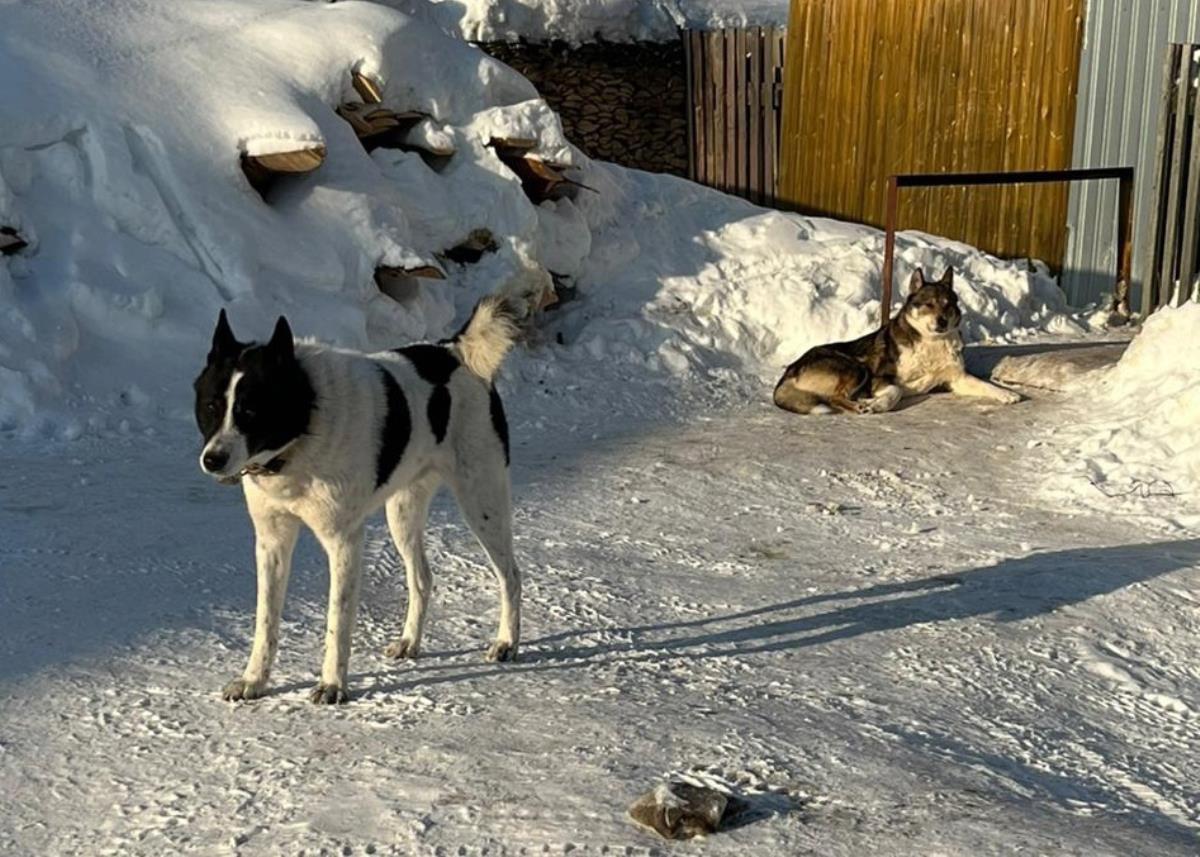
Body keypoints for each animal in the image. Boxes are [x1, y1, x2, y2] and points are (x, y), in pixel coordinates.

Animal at [193, 294, 520, 700]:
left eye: (251, 410)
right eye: (211, 407)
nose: (212, 459)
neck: (304, 425)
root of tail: (454, 350)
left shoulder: (344, 541)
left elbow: (337, 619)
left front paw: (332, 684)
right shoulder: (272, 541)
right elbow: (265, 620)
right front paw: (255, 679)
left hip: (482, 499)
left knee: (510, 575)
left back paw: (507, 642)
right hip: (403, 511)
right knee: (422, 577)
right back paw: (410, 641)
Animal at [772, 266, 1017, 412]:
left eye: (948, 304)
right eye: (929, 304)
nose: (942, 322)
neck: (931, 342)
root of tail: (790, 370)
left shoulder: (956, 379)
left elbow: (984, 384)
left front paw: (1007, 394)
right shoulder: (879, 378)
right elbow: (896, 391)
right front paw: (878, 404)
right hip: (855, 367)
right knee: (834, 398)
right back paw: (860, 405)